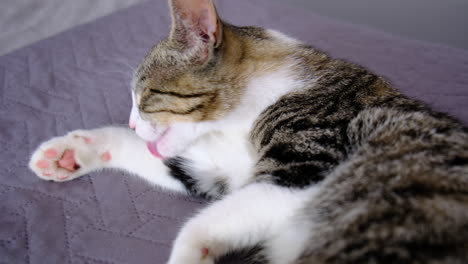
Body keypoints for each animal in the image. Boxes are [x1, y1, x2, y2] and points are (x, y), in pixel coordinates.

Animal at [29, 0, 468, 262]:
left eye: (146, 95)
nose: (135, 120)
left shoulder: (306, 166)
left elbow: (198, 225)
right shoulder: (217, 169)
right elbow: (168, 164)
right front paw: (71, 152)